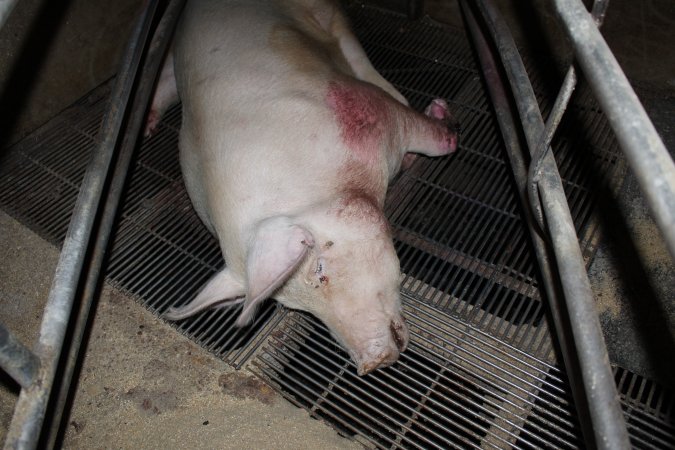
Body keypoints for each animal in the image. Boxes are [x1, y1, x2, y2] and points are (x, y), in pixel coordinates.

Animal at [152, 0, 460, 376]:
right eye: (296, 306)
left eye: (320, 270)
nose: (372, 362)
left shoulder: (362, 108)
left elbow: (426, 135)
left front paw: (443, 131)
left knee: (359, 58)